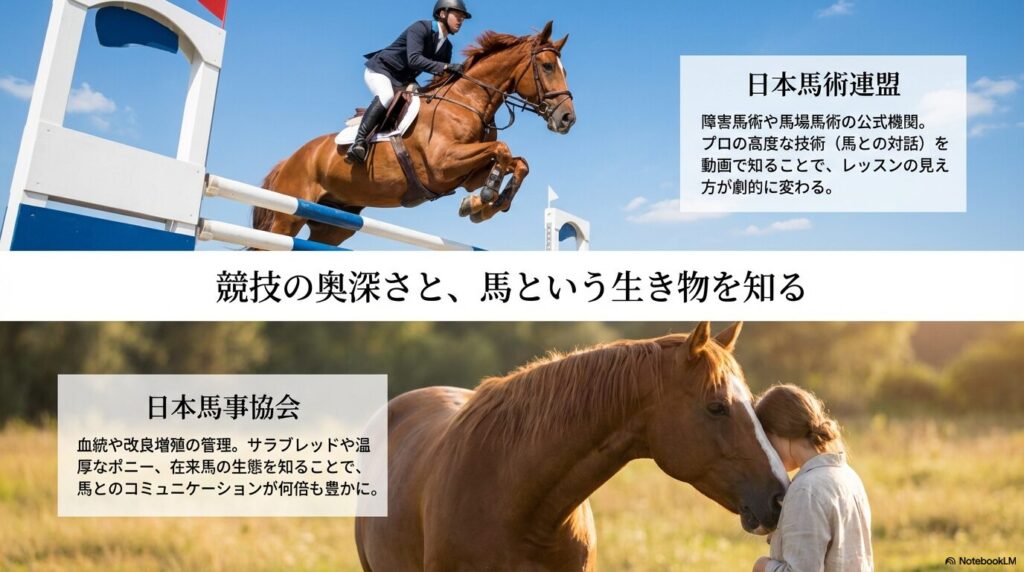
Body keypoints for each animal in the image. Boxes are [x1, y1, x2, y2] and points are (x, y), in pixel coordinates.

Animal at [252, 22, 575, 247]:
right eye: (547, 66)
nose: (567, 118)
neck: (467, 100)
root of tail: (289, 160)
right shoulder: (442, 164)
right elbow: (503, 149)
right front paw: (484, 200)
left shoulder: (466, 174)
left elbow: (519, 163)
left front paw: (482, 205)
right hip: (287, 215)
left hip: (333, 225)